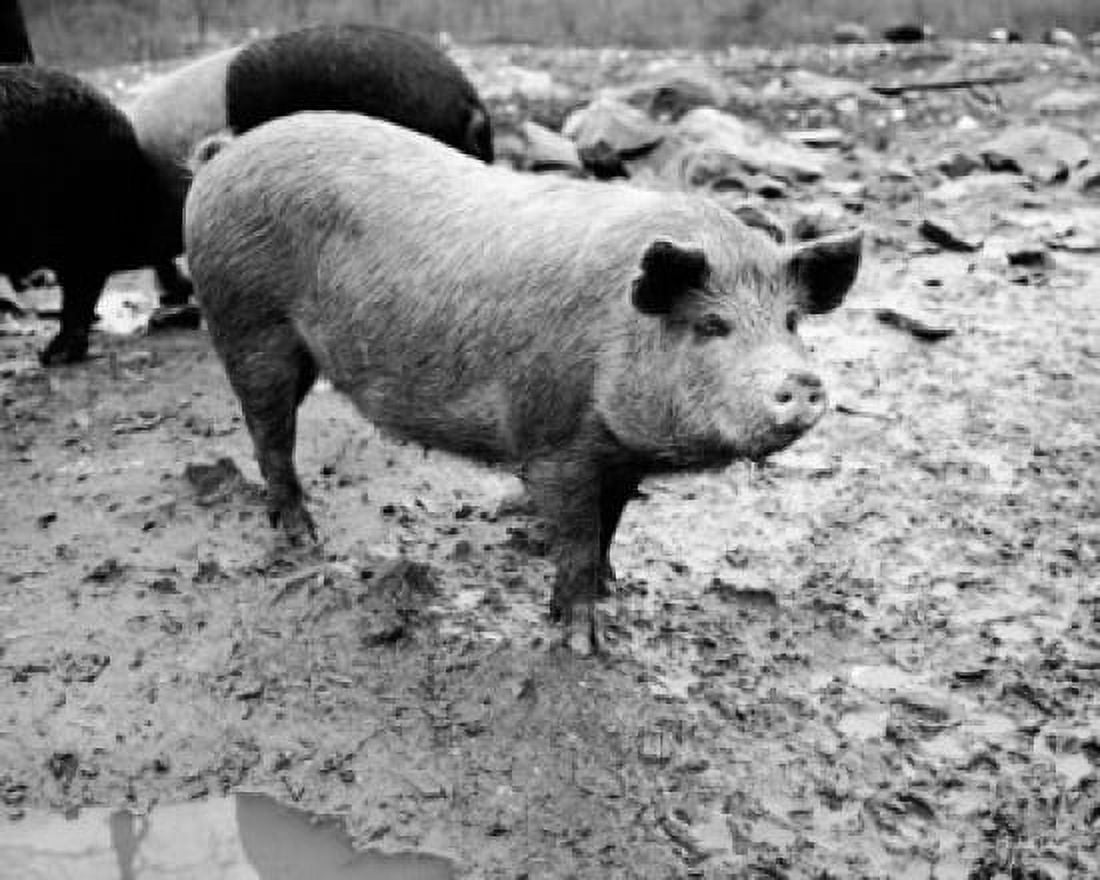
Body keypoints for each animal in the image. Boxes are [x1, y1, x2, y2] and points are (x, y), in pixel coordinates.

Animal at [185, 113, 860, 644]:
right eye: (712, 325)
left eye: (792, 320)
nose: (803, 382)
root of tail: (223, 156)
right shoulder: (555, 443)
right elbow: (578, 534)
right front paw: (583, 641)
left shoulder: (620, 456)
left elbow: (611, 523)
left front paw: (613, 587)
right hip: (248, 322)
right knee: (269, 436)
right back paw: (305, 540)